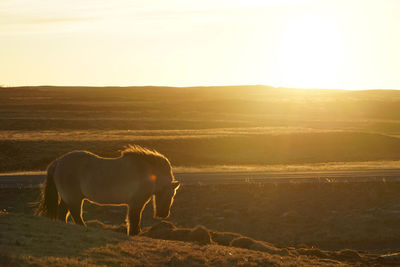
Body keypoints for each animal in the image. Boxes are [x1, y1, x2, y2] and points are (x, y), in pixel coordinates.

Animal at [35, 146, 180, 236]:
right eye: (172, 195)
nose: (163, 214)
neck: (148, 172)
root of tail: (58, 162)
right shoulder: (136, 203)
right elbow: (134, 219)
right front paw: (134, 233)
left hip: (67, 198)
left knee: (63, 214)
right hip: (74, 199)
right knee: (76, 214)